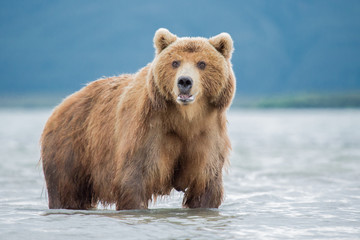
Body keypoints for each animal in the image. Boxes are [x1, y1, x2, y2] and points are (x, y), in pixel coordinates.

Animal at [40, 28, 236, 210]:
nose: (185, 81)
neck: (184, 118)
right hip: (71, 148)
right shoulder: (148, 131)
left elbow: (205, 185)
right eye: (175, 62)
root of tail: (62, 104)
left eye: (202, 63)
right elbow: (135, 180)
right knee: (67, 192)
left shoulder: (206, 134)